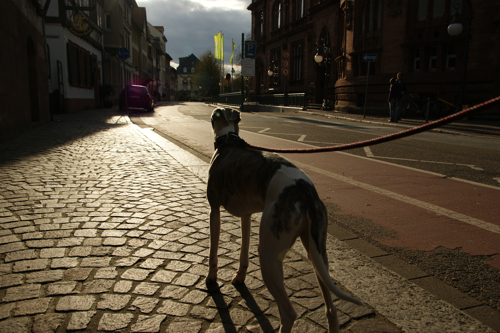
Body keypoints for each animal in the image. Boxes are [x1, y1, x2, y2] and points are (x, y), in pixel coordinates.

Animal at [205, 107, 366, 330]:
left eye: (217, 113)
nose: (213, 109)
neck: (228, 140)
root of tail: (304, 191)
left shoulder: (214, 210)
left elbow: (213, 252)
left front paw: (211, 278)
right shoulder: (246, 215)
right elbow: (243, 252)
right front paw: (239, 278)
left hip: (269, 253)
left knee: (288, 312)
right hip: (316, 253)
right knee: (331, 309)